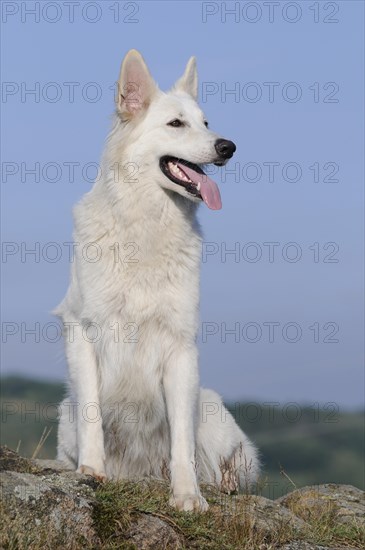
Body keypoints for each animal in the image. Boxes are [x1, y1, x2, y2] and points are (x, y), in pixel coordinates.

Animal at [54, 50, 258, 512]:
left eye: (206, 122)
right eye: (176, 124)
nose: (228, 147)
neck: (145, 228)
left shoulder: (180, 347)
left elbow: (181, 439)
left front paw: (186, 495)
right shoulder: (84, 333)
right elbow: (93, 414)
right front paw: (92, 471)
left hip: (211, 406)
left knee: (223, 464)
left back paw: (218, 484)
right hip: (64, 414)